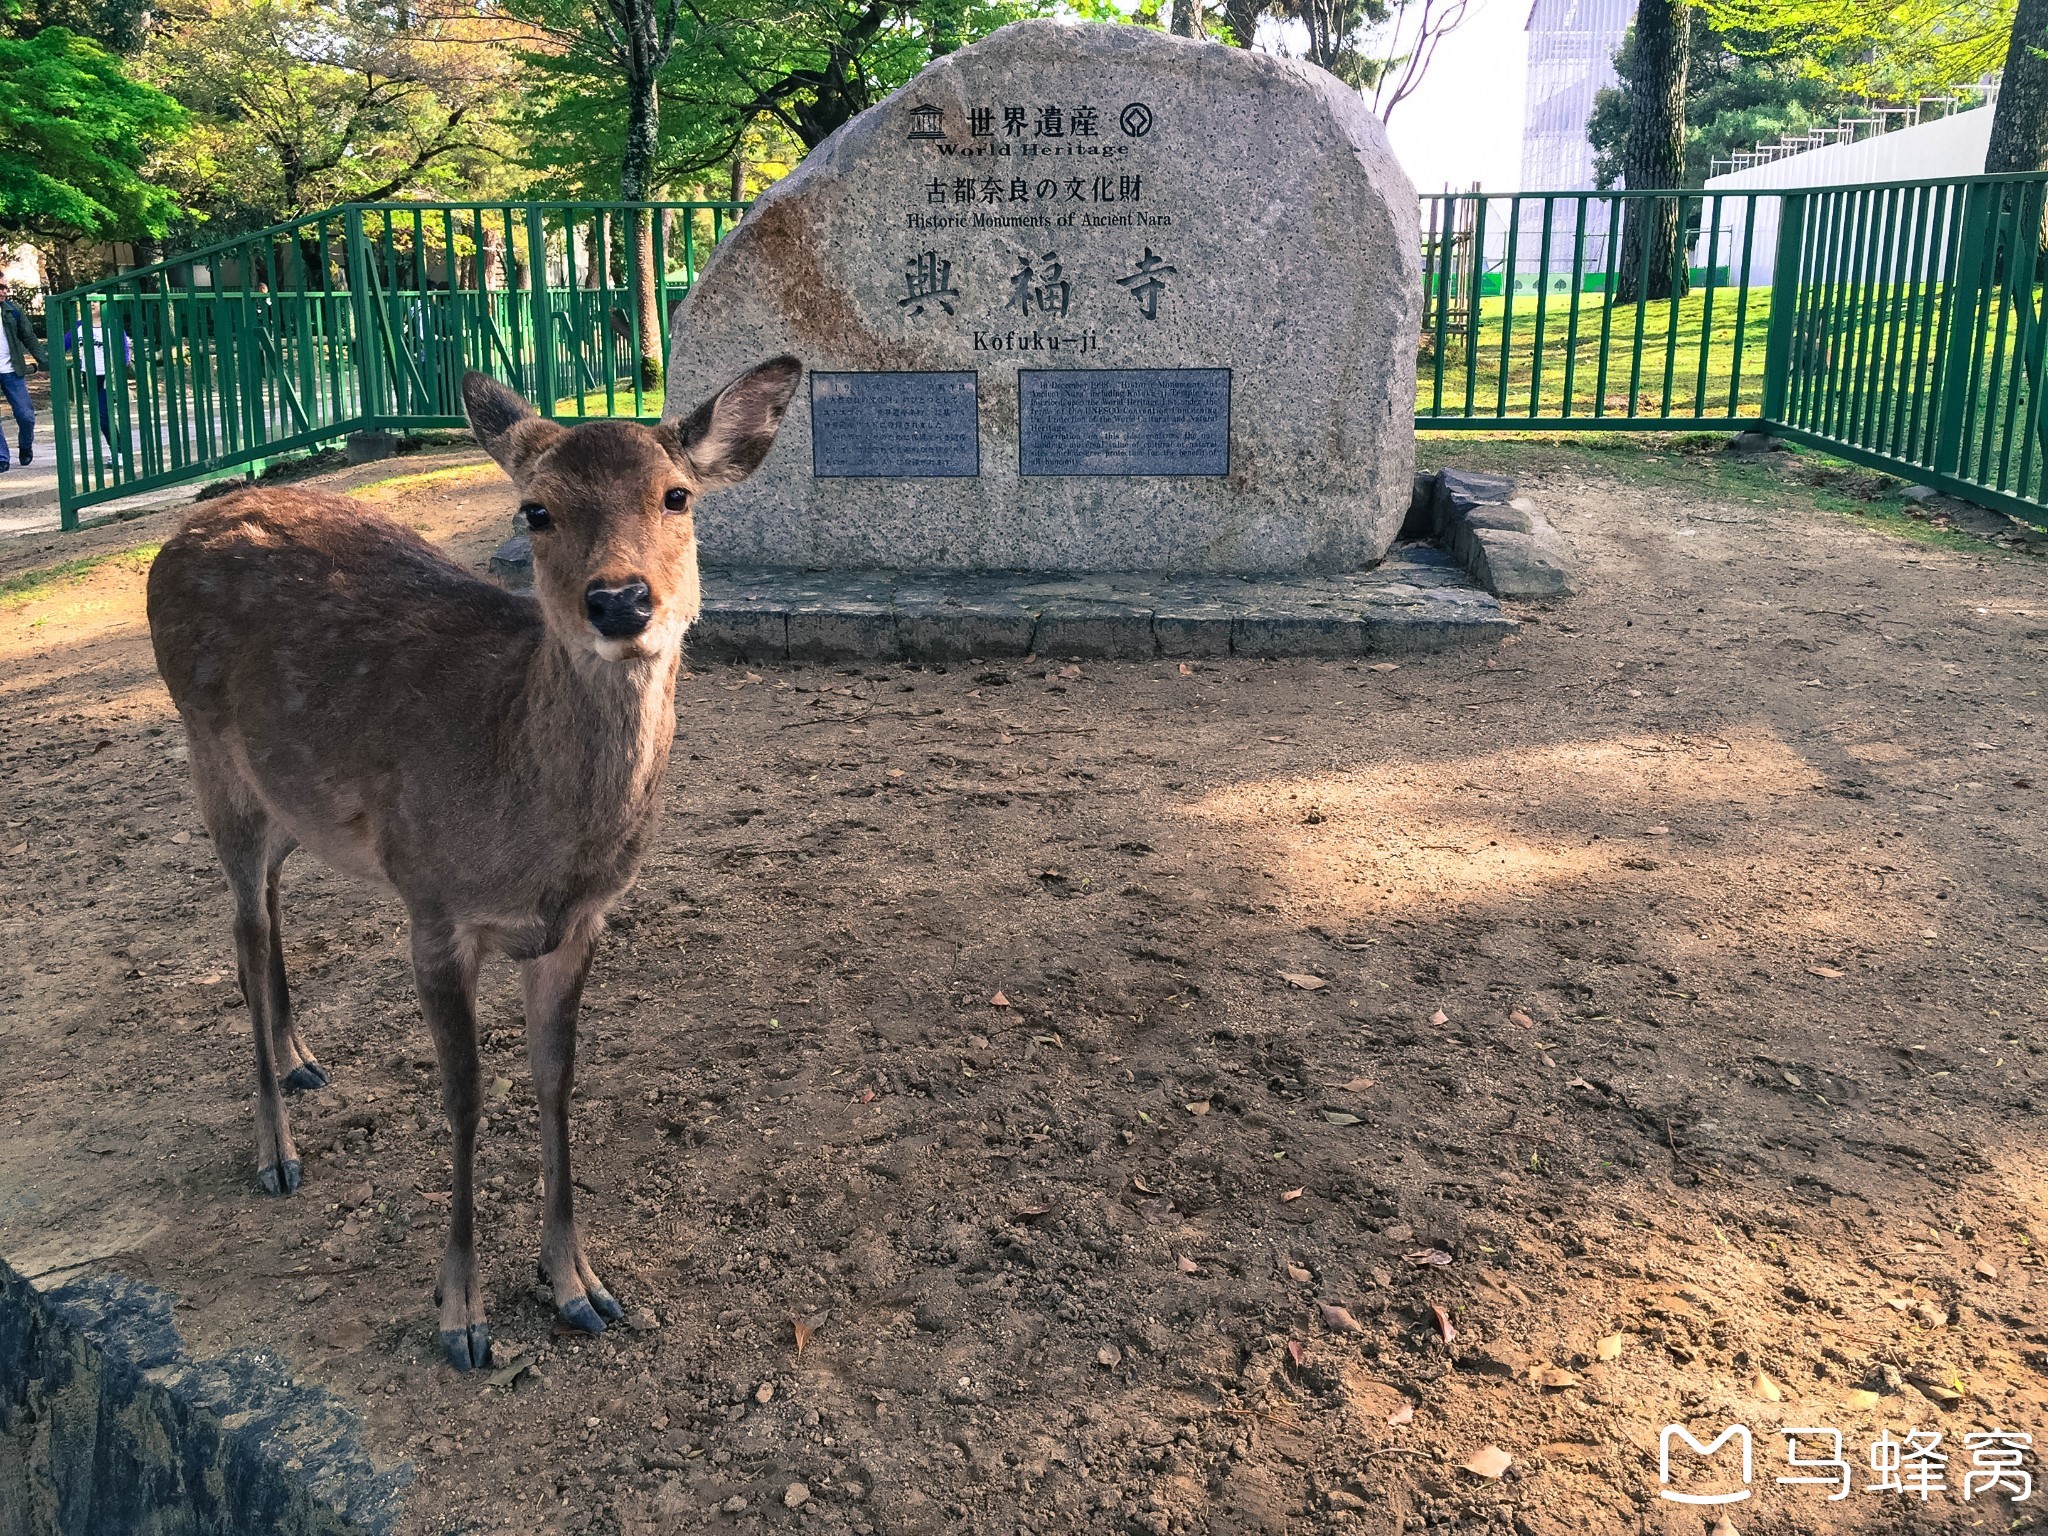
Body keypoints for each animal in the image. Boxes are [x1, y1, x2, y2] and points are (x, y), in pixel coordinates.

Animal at [140, 358, 798, 1368]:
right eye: (536, 509)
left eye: (677, 495)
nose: (620, 601)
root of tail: (181, 531)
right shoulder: (433, 905)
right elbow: (465, 1095)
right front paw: (461, 1315)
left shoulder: (577, 925)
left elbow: (555, 1079)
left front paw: (579, 1287)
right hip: (211, 757)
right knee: (242, 922)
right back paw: (276, 1152)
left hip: (294, 800)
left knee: (273, 899)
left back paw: (301, 1059)